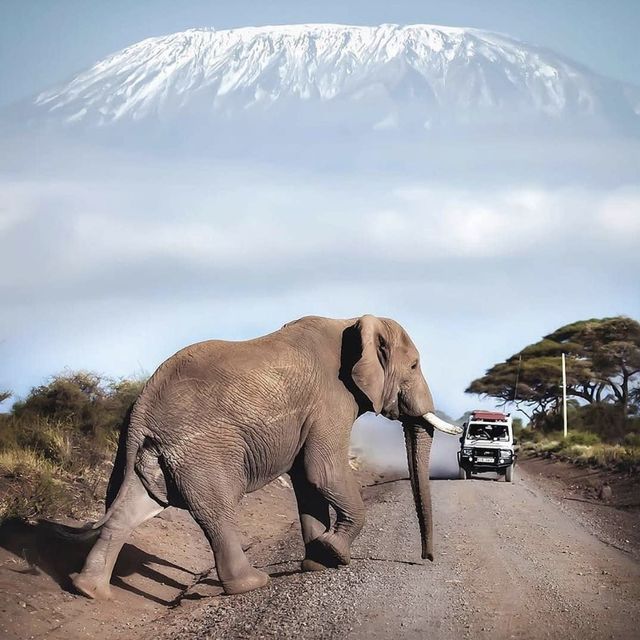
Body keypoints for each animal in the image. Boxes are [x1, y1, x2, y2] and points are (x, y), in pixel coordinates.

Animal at [70, 316, 460, 600]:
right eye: (414, 366)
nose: (426, 559)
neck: (352, 322)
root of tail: (142, 407)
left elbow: (307, 482)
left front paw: (317, 563)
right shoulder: (330, 399)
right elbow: (322, 472)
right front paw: (334, 552)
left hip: (148, 451)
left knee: (132, 507)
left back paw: (90, 591)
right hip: (203, 451)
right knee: (219, 511)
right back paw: (252, 583)